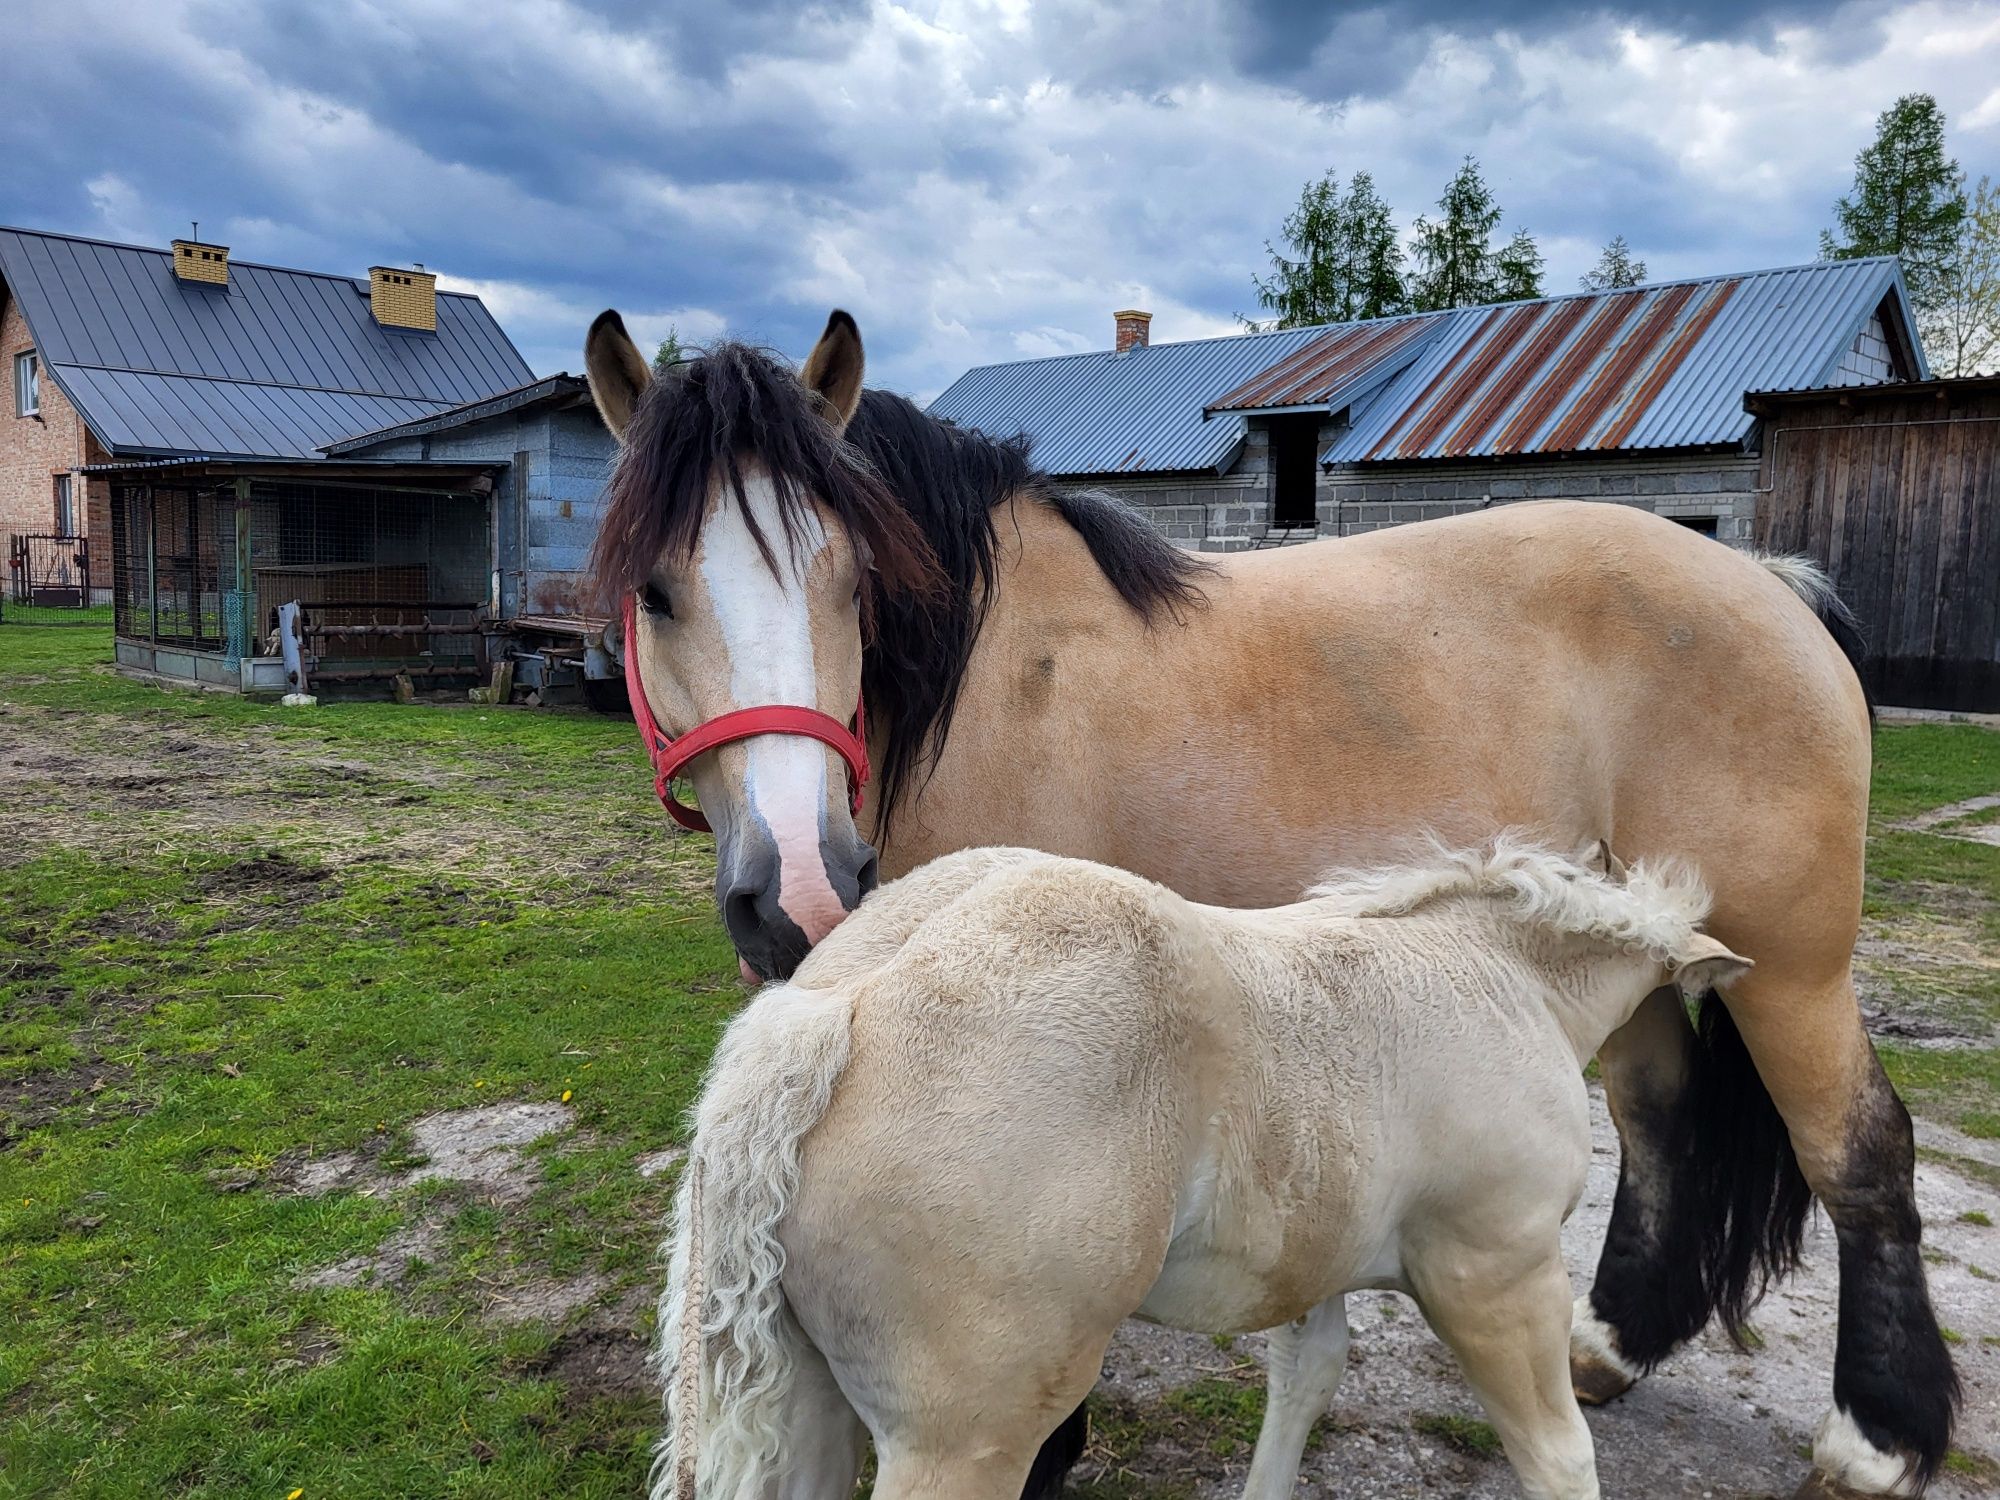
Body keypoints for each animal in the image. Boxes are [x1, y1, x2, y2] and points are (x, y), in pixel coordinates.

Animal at [660, 840, 1752, 1500]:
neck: (1504, 977)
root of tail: (837, 1006)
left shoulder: (1315, 1260)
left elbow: (1305, 1383)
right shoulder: (1498, 1276)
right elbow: (1559, 1458)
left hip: (812, 1406)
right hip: (962, 1441)